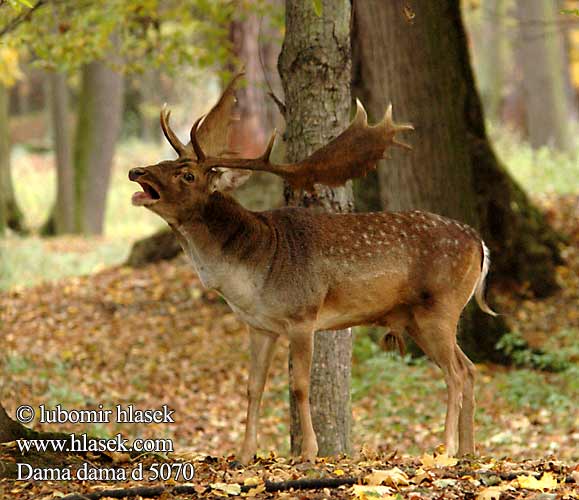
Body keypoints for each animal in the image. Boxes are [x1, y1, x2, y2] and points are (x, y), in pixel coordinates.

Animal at [129, 74, 496, 464]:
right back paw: (469, 451)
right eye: (164, 160)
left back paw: (447, 448)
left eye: (187, 174)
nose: (136, 171)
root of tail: (480, 243)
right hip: (416, 318)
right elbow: (253, 387)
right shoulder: (260, 326)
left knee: (455, 373)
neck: (252, 274)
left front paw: (308, 452)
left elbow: (299, 386)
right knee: (469, 369)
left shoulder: (302, 315)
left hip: (440, 306)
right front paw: (245, 455)